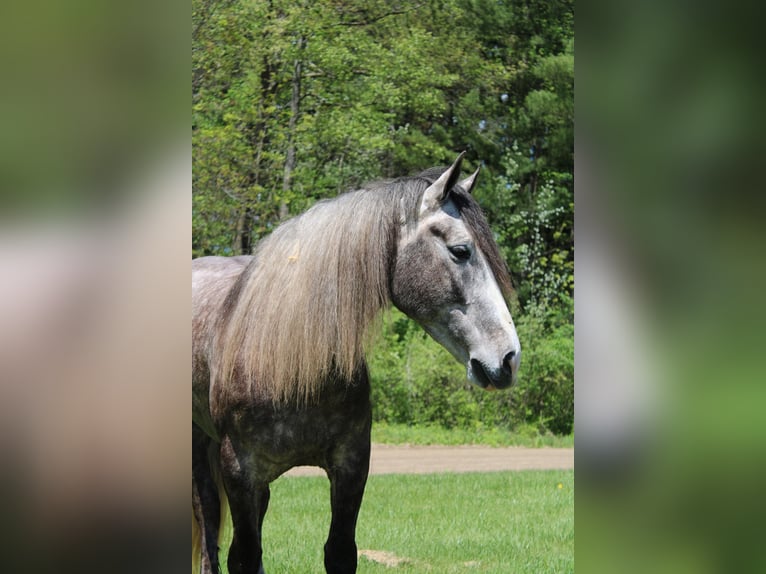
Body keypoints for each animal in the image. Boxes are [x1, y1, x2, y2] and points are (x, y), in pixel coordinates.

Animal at [195, 154, 524, 574]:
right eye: (461, 251)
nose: (509, 358)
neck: (290, 365)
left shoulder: (352, 465)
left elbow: (339, 552)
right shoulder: (239, 472)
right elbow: (244, 556)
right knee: (208, 521)